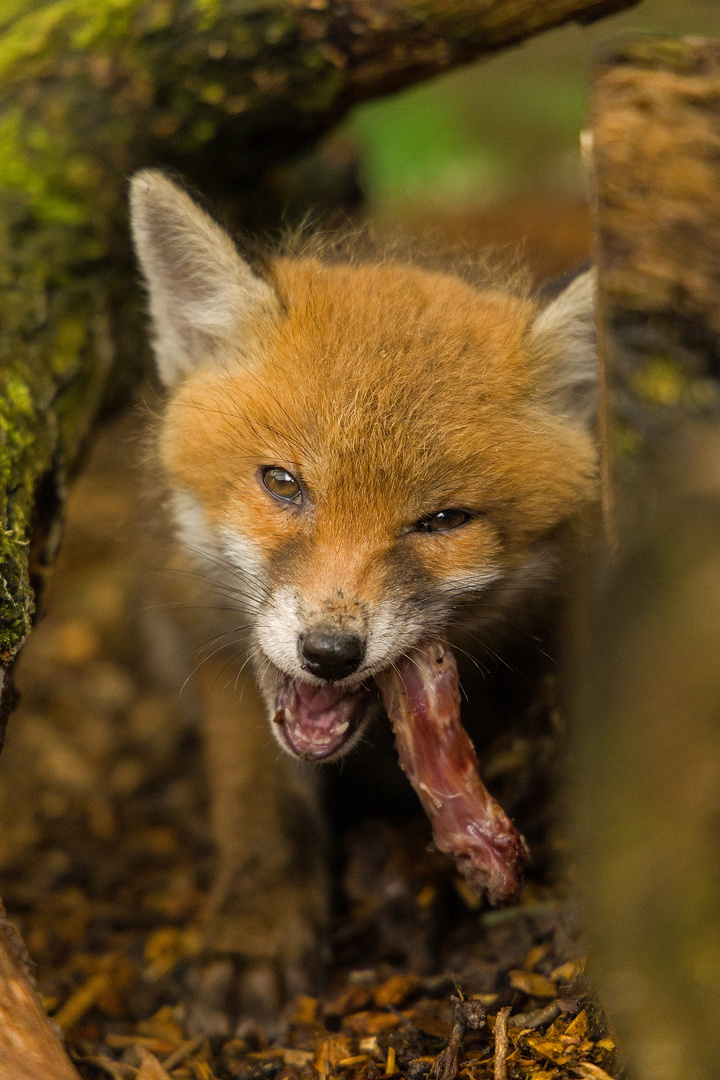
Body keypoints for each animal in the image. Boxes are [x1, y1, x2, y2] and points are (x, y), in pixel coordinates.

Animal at [131, 170, 604, 1036]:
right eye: (283, 483)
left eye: (443, 521)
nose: (328, 653)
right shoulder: (212, 642)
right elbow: (258, 802)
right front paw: (257, 929)